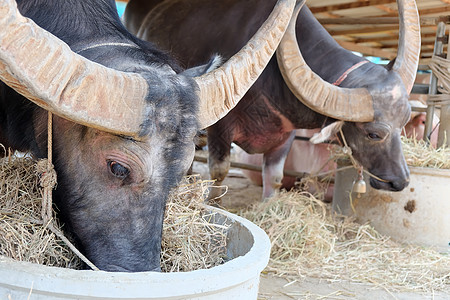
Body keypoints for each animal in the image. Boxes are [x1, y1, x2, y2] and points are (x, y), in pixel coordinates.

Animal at [126, 0, 422, 202]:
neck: (271, 74)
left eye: (404, 124)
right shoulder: (220, 128)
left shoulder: (285, 134)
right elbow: (220, 171)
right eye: (373, 134)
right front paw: (212, 203)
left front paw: (268, 205)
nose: (399, 182)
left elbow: (275, 177)